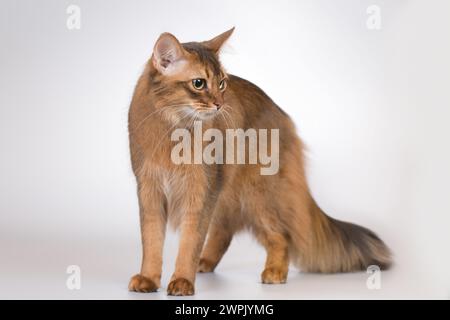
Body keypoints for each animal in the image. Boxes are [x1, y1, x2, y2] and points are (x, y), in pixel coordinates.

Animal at [126, 27, 390, 296]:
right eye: (198, 83)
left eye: (221, 83)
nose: (219, 104)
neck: (173, 129)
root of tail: (283, 116)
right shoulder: (149, 189)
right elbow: (152, 240)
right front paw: (148, 278)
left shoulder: (200, 189)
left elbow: (190, 241)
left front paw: (182, 280)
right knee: (224, 230)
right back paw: (205, 261)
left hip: (258, 193)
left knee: (280, 236)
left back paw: (274, 271)